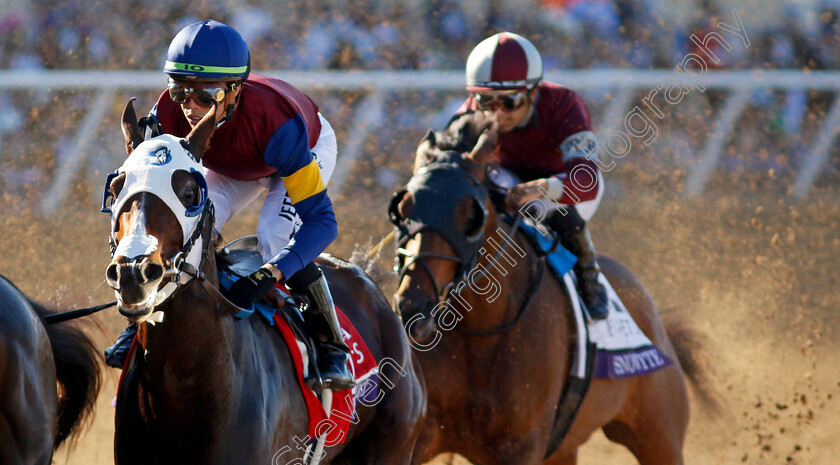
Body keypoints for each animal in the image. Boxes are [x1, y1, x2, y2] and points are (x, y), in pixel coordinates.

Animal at [107, 99, 424, 462]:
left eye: (189, 192)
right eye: (116, 188)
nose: (134, 272)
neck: (183, 385)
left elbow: (320, 219)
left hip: (392, 443)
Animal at [394, 113, 696, 464]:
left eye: (471, 214)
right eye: (403, 208)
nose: (413, 306)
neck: (483, 333)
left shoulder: (521, 446)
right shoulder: (419, 435)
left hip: (659, 436)